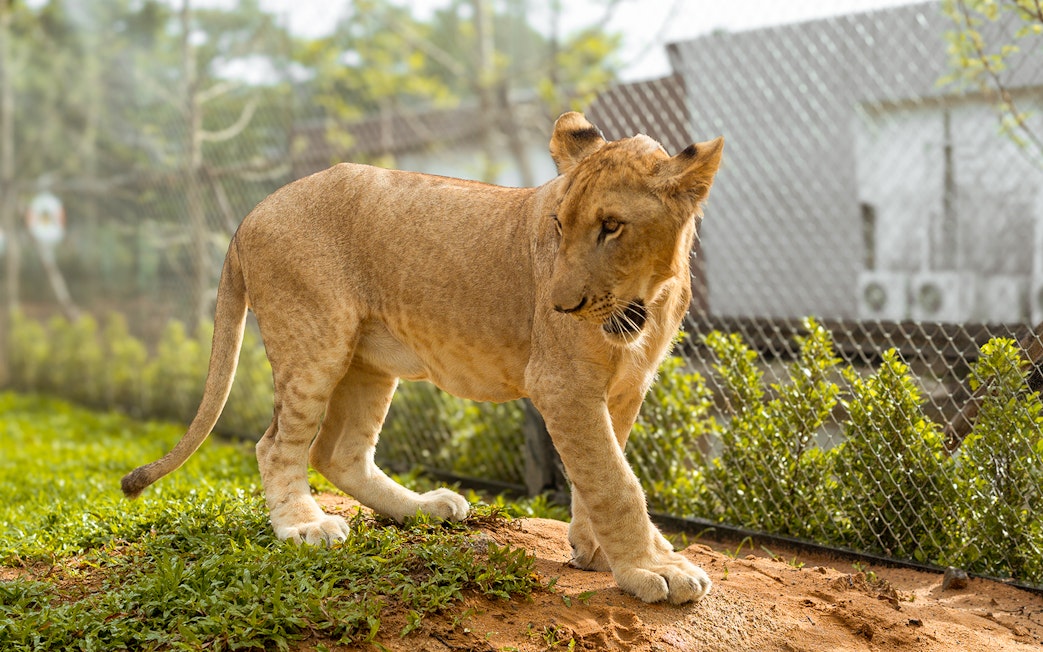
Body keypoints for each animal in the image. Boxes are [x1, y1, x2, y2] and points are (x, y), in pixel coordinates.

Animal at [122, 112, 723, 604]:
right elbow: (616, 482)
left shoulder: (624, 388)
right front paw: (652, 569)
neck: (647, 299)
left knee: (340, 454)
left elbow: (597, 471)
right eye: (558, 226)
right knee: (276, 446)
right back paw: (304, 527)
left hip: (368, 362)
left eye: (612, 226)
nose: (558, 305)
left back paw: (425, 509)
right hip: (314, 343)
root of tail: (252, 212)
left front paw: (595, 550)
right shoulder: (563, 386)